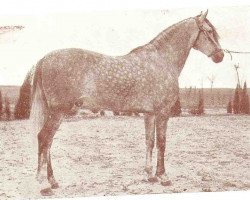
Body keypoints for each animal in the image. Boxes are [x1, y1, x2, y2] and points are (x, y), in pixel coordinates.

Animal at [30, 10, 224, 195]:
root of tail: (44, 59)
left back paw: (53, 181)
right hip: (58, 112)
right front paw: (163, 177)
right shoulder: (162, 112)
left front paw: (150, 175)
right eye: (209, 31)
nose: (220, 56)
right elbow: (162, 143)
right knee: (44, 139)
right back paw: (44, 184)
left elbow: (150, 142)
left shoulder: (149, 113)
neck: (161, 60)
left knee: (48, 143)